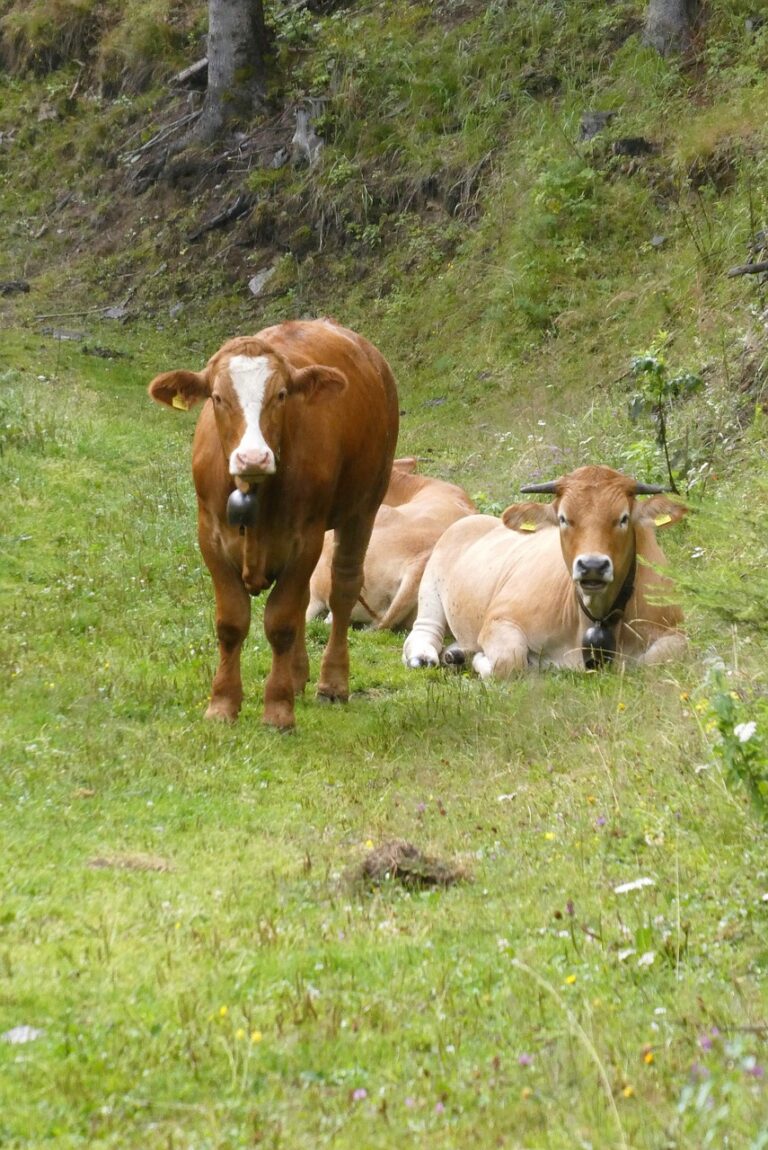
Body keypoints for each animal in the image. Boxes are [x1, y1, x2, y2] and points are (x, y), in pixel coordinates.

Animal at [148, 317, 400, 726]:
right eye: (217, 397)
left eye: (281, 395)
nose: (252, 457)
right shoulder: (210, 537)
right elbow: (232, 622)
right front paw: (223, 703)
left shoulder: (305, 538)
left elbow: (280, 622)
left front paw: (278, 710)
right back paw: (297, 675)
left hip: (366, 504)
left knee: (343, 588)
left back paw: (332, 683)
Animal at [404, 462, 685, 671]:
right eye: (563, 518)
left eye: (623, 518)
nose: (592, 565)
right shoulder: (500, 618)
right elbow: (509, 660)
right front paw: (480, 658)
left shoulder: (675, 630)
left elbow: (656, 658)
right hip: (430, 586)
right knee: (424, 630)